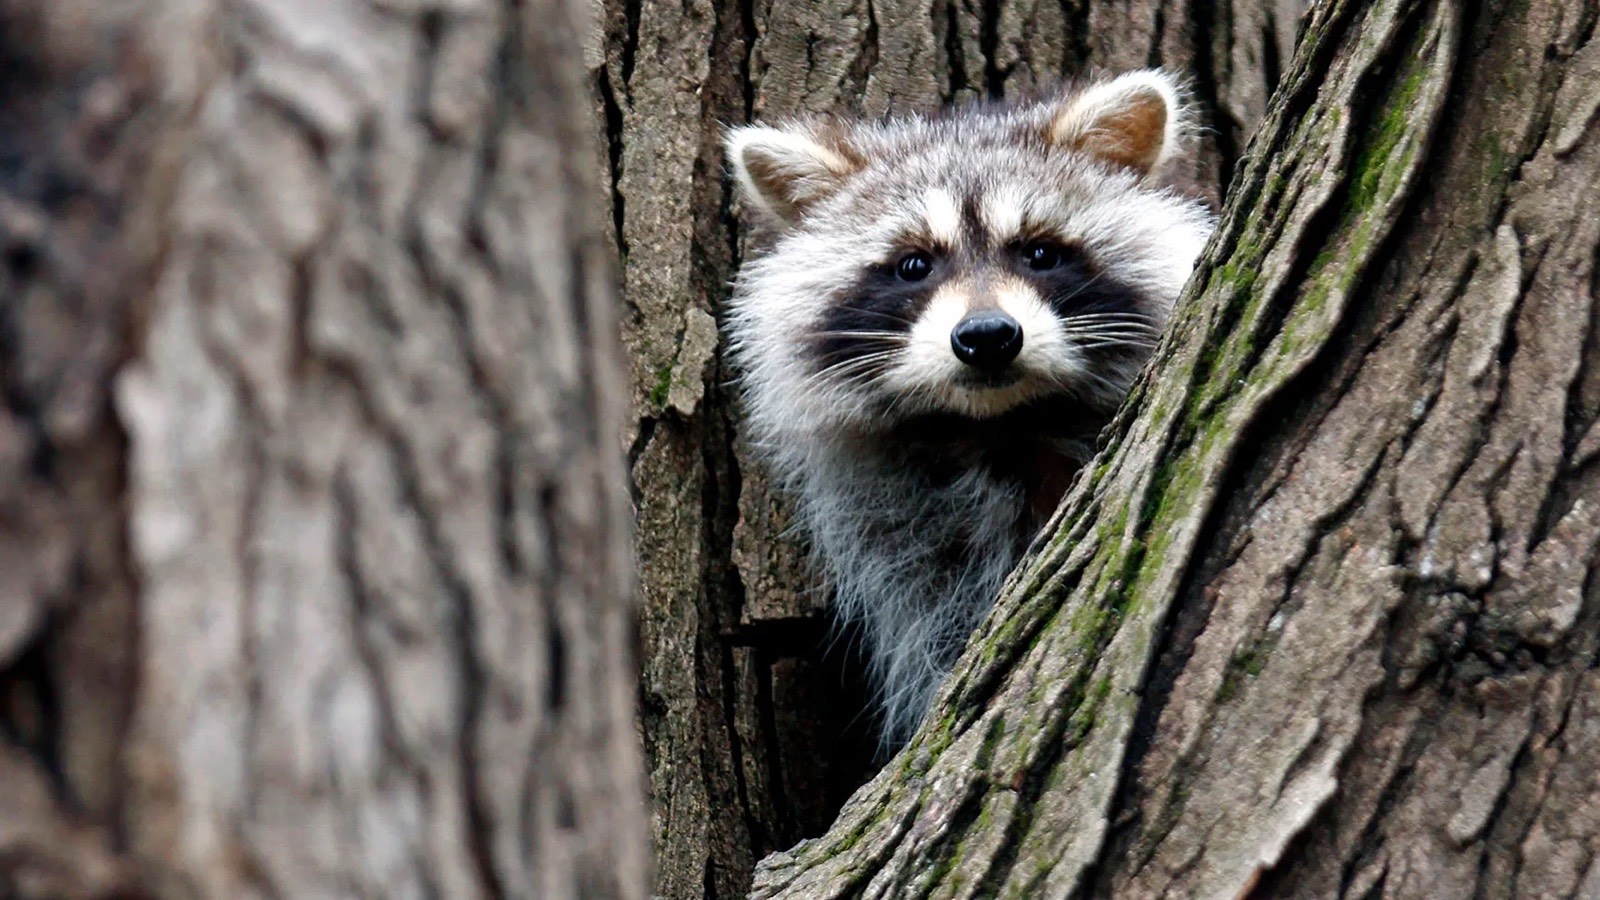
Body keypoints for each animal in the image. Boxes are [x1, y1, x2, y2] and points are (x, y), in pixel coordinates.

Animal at [724, 70, 1215, 748]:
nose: (987, 335)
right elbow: (938, 626)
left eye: (1039, 253)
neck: (1002, 425)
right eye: (914, 264)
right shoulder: (910, 531)